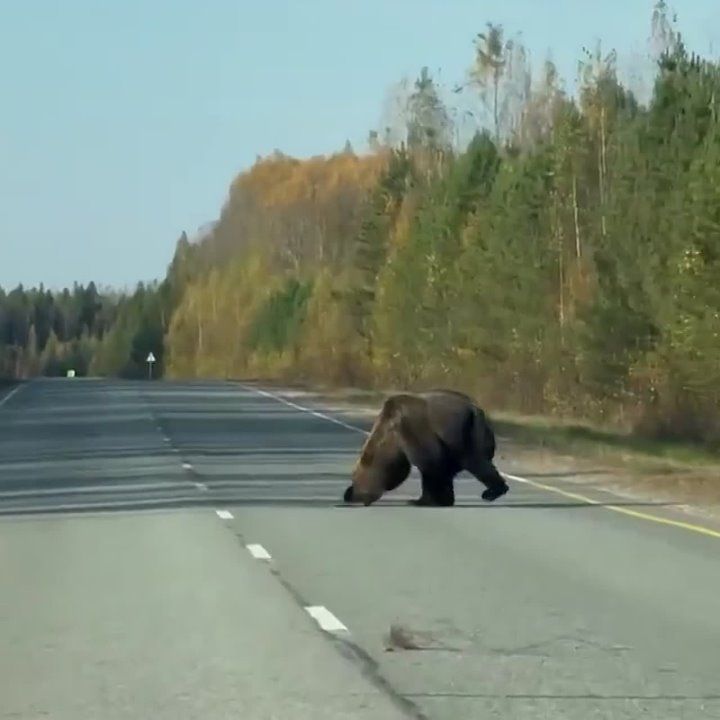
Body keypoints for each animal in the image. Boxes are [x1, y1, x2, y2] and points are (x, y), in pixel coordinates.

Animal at [342, 389, 509, 507]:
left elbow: (430, 462)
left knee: (476, 462)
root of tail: (476, 409)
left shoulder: (412, 428)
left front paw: (425, 500)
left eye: (355, 478)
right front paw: (441, 498)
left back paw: (491, 492)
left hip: (467, 433)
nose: (349, 495)